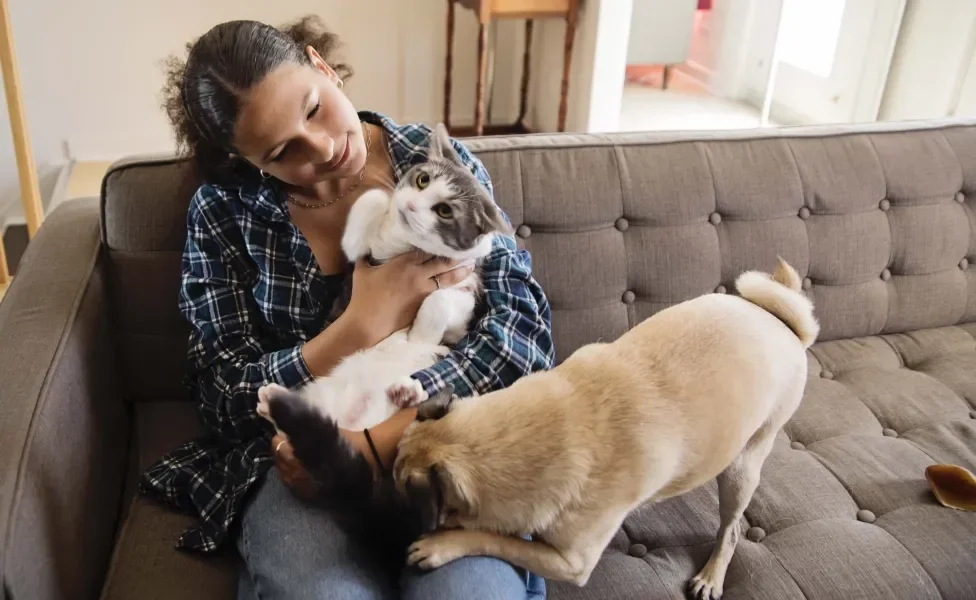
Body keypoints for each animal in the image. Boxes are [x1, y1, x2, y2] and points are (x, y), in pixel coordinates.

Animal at [258, 123, 510, 432]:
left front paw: (420, 336)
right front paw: (384, 199)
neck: (405, 243)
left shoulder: (465, 290)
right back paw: (272, 400)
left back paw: (407, 392)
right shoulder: (364, 257)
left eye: (445, 211)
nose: (411, 205)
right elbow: (370, 206)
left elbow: (442, 301)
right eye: (423, 180)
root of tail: (350, 420)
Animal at [392, 258, 820, 600]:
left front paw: (441, 544)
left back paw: (712, 576)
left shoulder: (569, 562)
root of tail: (786, 325)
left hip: (743, 468)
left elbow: (493, 539)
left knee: (730, 531)